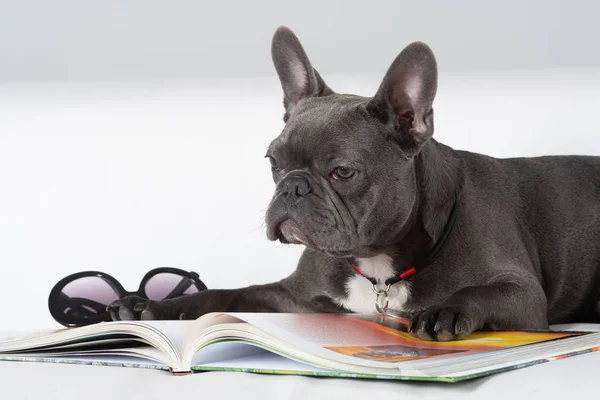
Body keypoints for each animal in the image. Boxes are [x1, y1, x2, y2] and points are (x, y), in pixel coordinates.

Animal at [108, 27, 600, 340]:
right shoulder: (292, 297)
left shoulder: (523, 296)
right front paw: (151, 307)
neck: (378, 264)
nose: (292, 187)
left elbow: (480, 291)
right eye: (274, 162)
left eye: (343, 172)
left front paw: (445, 309)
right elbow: (227, 294)